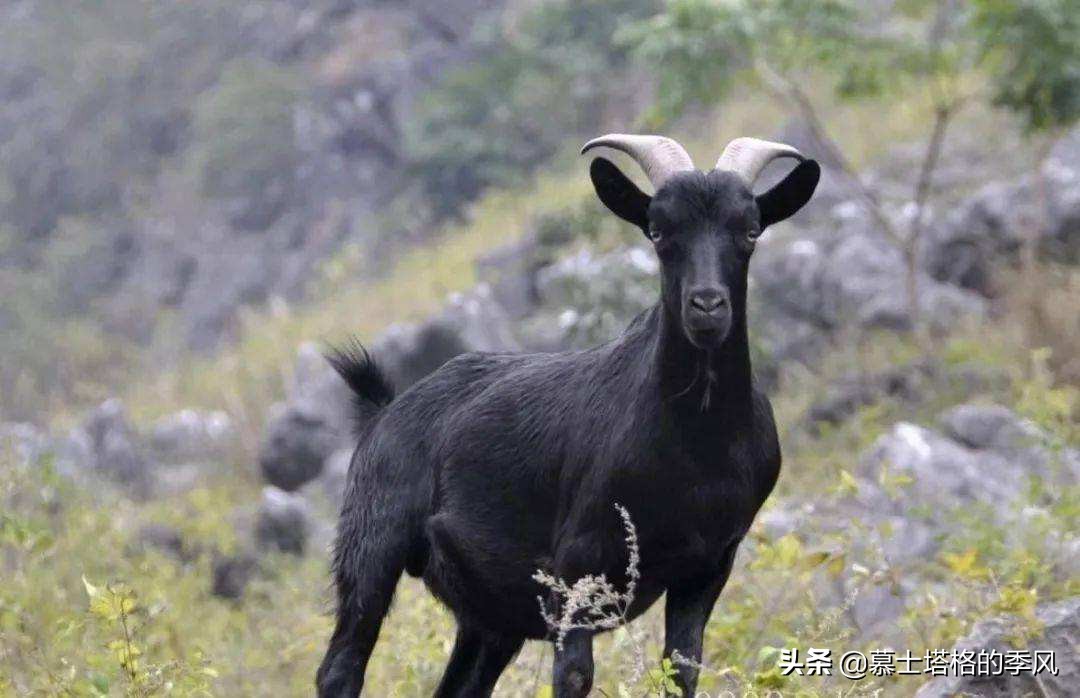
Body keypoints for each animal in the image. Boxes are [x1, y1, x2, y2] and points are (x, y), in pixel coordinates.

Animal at [315, 133, 820, 695]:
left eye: (750, 231)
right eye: (658, 231)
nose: (707, 306)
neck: (695, 445)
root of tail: (382, 411)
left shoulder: (708, 564)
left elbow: (682, 668)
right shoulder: (578, 564)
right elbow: (574, 674)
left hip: (491, 617)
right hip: (372, 542)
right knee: (341, 666)